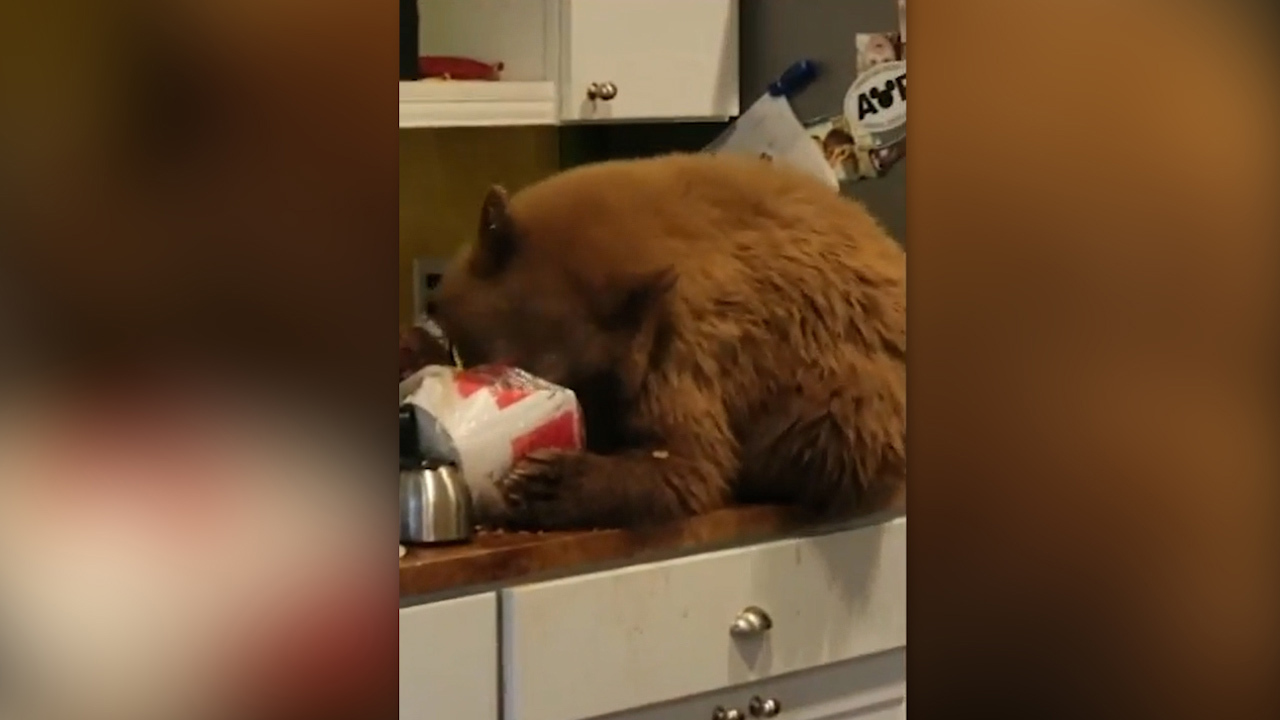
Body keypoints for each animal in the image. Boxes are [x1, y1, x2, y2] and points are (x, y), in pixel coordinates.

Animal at [432, 153, 906, 530]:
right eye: (492, 363)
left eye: (574, 381)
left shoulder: (685, 348)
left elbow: (690, 465)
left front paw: (547, 482)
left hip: (845, 390)